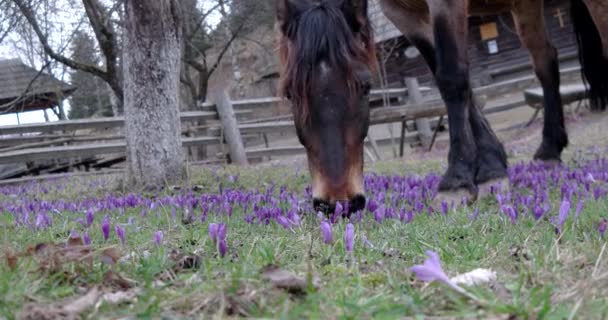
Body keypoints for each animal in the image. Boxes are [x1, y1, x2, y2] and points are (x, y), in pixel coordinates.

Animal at [276, 0, 608, 211]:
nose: (338, 201)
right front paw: (491, 167)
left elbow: (451, 77)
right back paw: (550, 148)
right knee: (545, 61)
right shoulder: (401, 12)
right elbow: (449, 75)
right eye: (290, 94)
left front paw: (456, 180)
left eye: (366, 86)